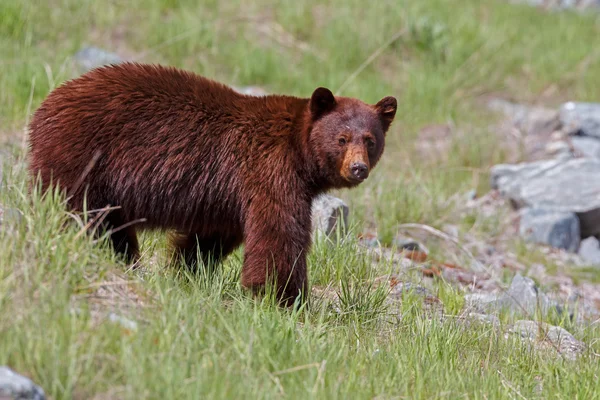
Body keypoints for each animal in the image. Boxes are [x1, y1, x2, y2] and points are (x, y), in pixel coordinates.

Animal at [28, 63, 396, 306]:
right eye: (342, 138)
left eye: (370, 139)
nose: (358, 168)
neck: (299, 150)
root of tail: (46, 104)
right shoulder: (270, 170)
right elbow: (278, 234)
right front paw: (283, 298)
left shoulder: (227, 196)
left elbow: (210, 239)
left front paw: (185, 272)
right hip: (83, 156)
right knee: (81, 211)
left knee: (113, 226)